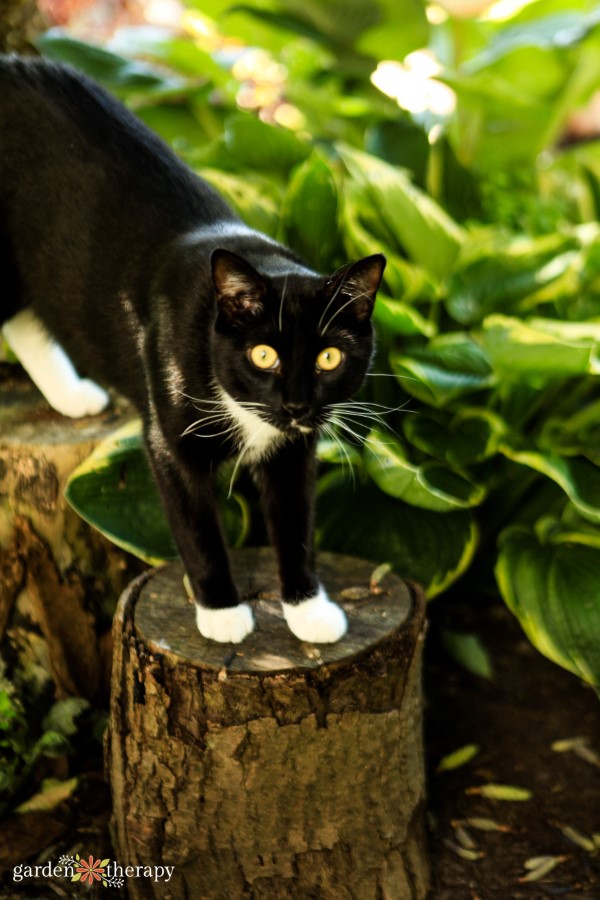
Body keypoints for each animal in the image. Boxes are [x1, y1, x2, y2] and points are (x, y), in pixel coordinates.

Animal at [0, 56, 384, 644]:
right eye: (263, 354)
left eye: (329, 358)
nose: (296, 403)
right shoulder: (168, 441)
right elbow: (197, 529)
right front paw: (222, 612)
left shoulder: (295, 451)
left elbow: (295, 523)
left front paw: (308, 609)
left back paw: (73, 395)